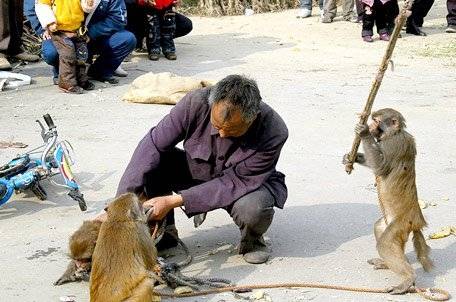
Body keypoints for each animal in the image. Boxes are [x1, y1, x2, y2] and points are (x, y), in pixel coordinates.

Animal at [344, 108, 432, 294]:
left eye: (376, 121)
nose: (371, 126)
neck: (394, 133)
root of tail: (417, 221)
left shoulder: (393, 144)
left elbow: (380, 166)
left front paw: (363, 132)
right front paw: (351, 157)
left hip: (402, 222)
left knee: (385, 244)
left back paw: (408, 278)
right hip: (393, 223)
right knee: (380, 228)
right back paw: (388, 264)